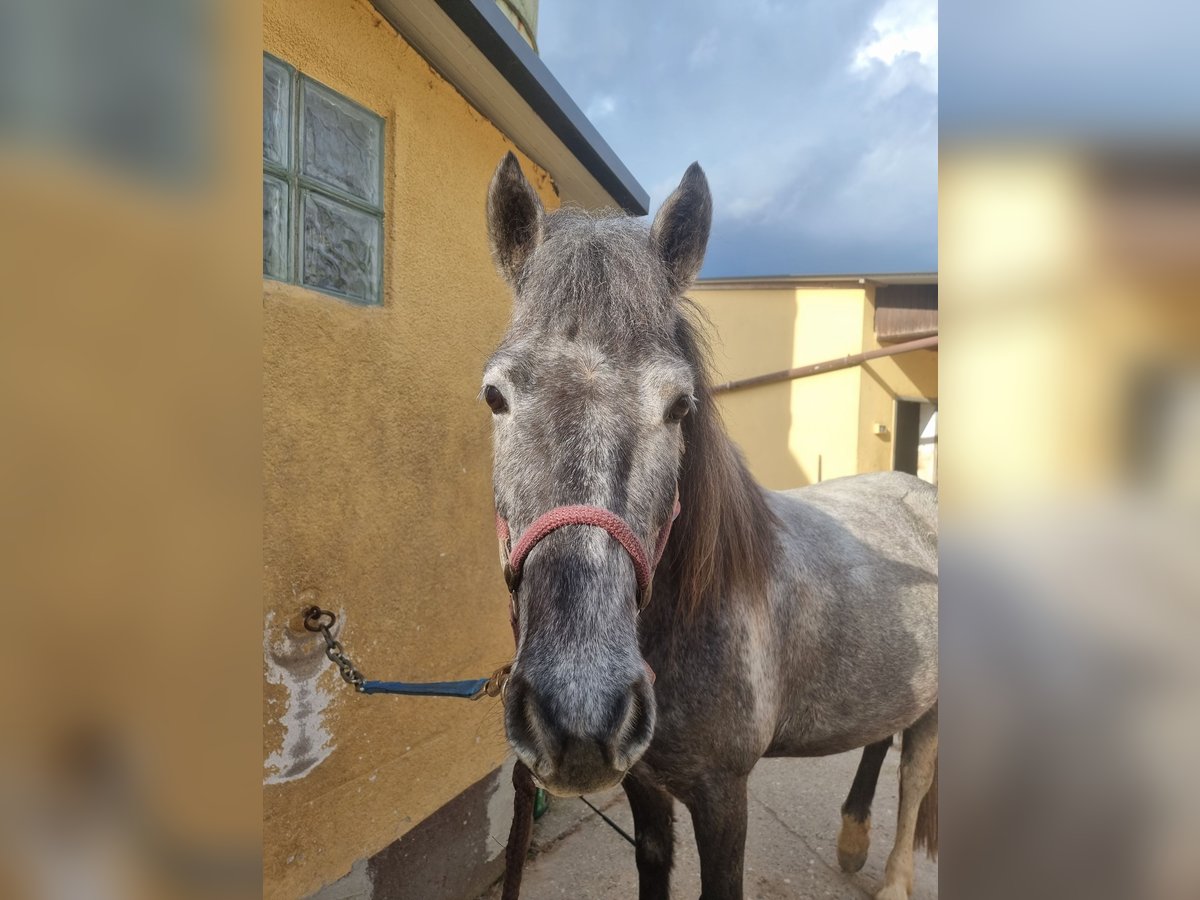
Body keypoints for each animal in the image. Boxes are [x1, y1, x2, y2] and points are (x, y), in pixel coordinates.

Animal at [481, 152, 938, 900]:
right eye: (496, 395)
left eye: (679, 405)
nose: (577, 713)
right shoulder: (643, 783)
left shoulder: (724, 793)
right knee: (881, 733)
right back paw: (851, 836)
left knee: (917, 772)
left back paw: (894, 877)